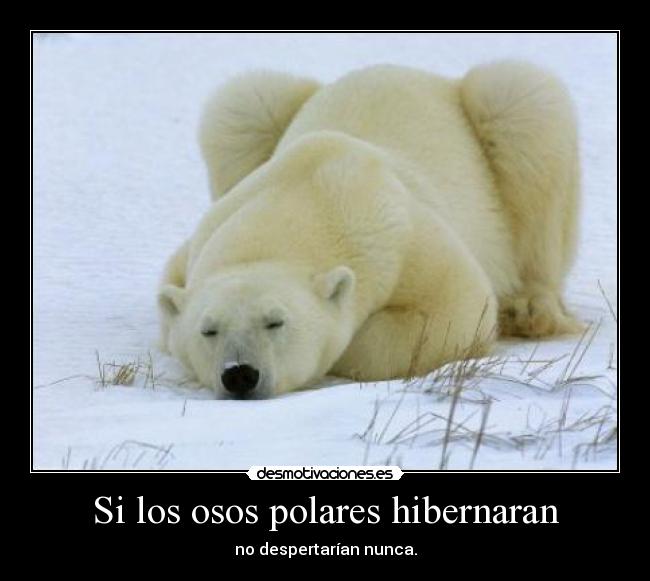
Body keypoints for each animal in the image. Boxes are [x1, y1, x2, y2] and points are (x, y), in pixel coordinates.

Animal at [158, 63, 582, 399]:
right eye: (208, 330)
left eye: (275, 321)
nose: (240, 374)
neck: (309, 188)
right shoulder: (206, 233)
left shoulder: (403, 235)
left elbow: (458, 307)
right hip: (257, 114)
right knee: (240, 109)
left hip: (507, 127)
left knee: (525, 113)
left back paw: (529, 309)